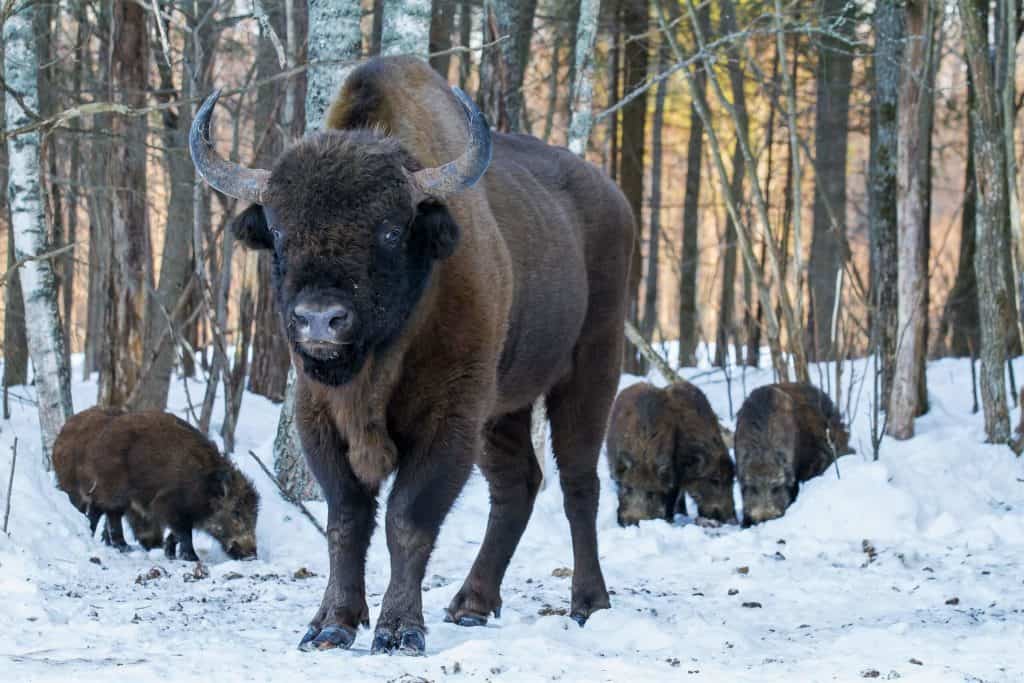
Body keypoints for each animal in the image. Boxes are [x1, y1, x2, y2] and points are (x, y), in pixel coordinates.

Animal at [52, 409, 262, 565]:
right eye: (236, 512)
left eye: (255, 514)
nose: (252, 554)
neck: (204, 488)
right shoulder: (168, 505)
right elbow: (184, 533)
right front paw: (191, 558)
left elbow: (177, 534)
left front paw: (170, 553)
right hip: (110, 489)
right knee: (105, 511)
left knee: (107, 513)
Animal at [190, 56, 630, 655]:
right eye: (278, 231)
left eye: (391, 231)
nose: (320, 319)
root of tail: (613, 197)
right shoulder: (317, 417)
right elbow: (347, 519)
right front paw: (330, 624)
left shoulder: (449, 420)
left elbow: (408, 520)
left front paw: (398, 630)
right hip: (504, 407)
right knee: (517, 484)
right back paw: (471, 604)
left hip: (591, 367)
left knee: (578, 483)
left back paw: (589, 602)